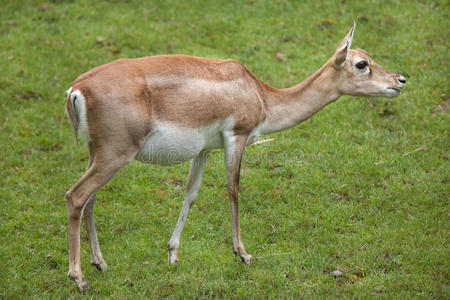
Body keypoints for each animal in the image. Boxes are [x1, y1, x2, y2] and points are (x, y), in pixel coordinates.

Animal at [65, 22, 406, 290]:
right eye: (361, 63)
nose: (400, 80)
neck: (261, 96)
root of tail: (77, 88)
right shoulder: (237, 137)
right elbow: (233, 189)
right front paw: (243, 253)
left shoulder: (203, 150)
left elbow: (191, 194)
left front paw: (173, 254)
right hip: (116, 153)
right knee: (76, 195)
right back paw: (79, 278)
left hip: (98, 152)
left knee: (90, 199)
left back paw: (100, 264)